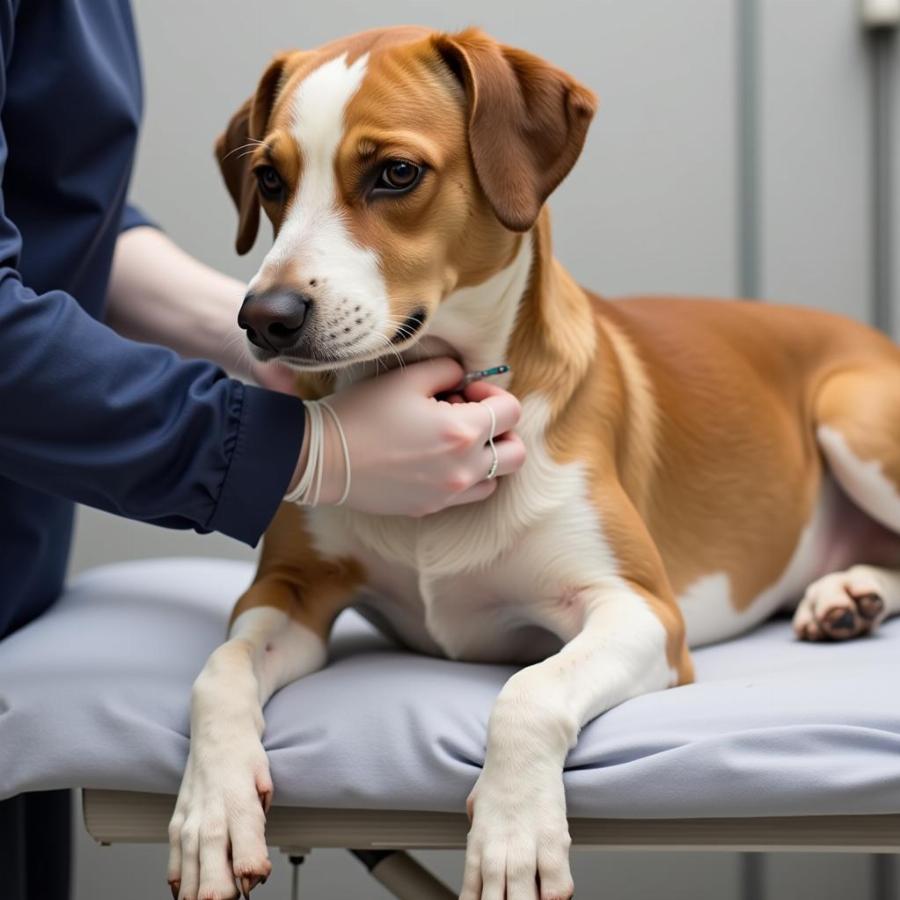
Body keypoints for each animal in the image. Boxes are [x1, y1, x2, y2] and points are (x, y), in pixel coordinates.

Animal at [165, 24, 900, 896]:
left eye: (396, 173)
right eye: (270, 178)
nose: (264, 318)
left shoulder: (642, 612)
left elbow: (530, 689)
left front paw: (514, 836)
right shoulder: (291, 590)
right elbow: (220, 670)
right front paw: (213, 813)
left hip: (852, 414)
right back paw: (845, 594)